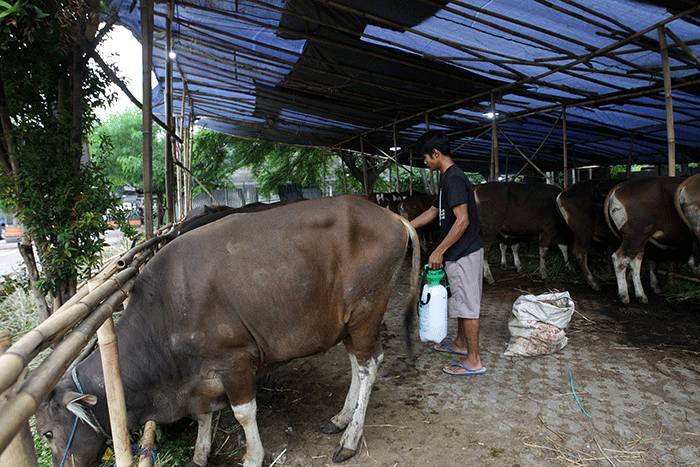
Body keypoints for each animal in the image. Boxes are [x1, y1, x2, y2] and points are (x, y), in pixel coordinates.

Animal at [35, 197, 418, 467]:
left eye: (47, 432)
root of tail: (391, 216)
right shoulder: (199, 373)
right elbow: (204, 413)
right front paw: (200, 454)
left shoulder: (236, 360)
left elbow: (243, 412)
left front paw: (252, 457)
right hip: (347, 322)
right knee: (361, 362)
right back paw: (340, 419)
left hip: (366, 311)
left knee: (368, 368)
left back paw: (349, 440)